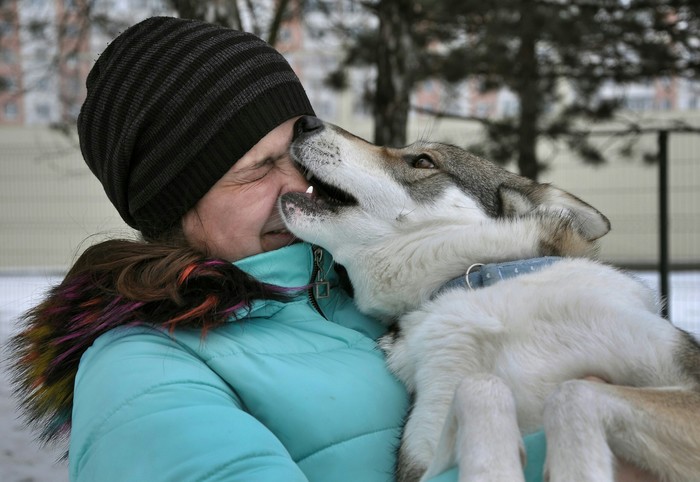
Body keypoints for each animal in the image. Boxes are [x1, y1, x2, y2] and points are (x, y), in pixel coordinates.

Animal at [278, 116, 700, 482]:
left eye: (422, 160)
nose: (304, 122)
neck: (478, 278)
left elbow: (572, 392)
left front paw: (578, 469)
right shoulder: (423, 454)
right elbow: (481, 388)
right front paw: (495, 467)